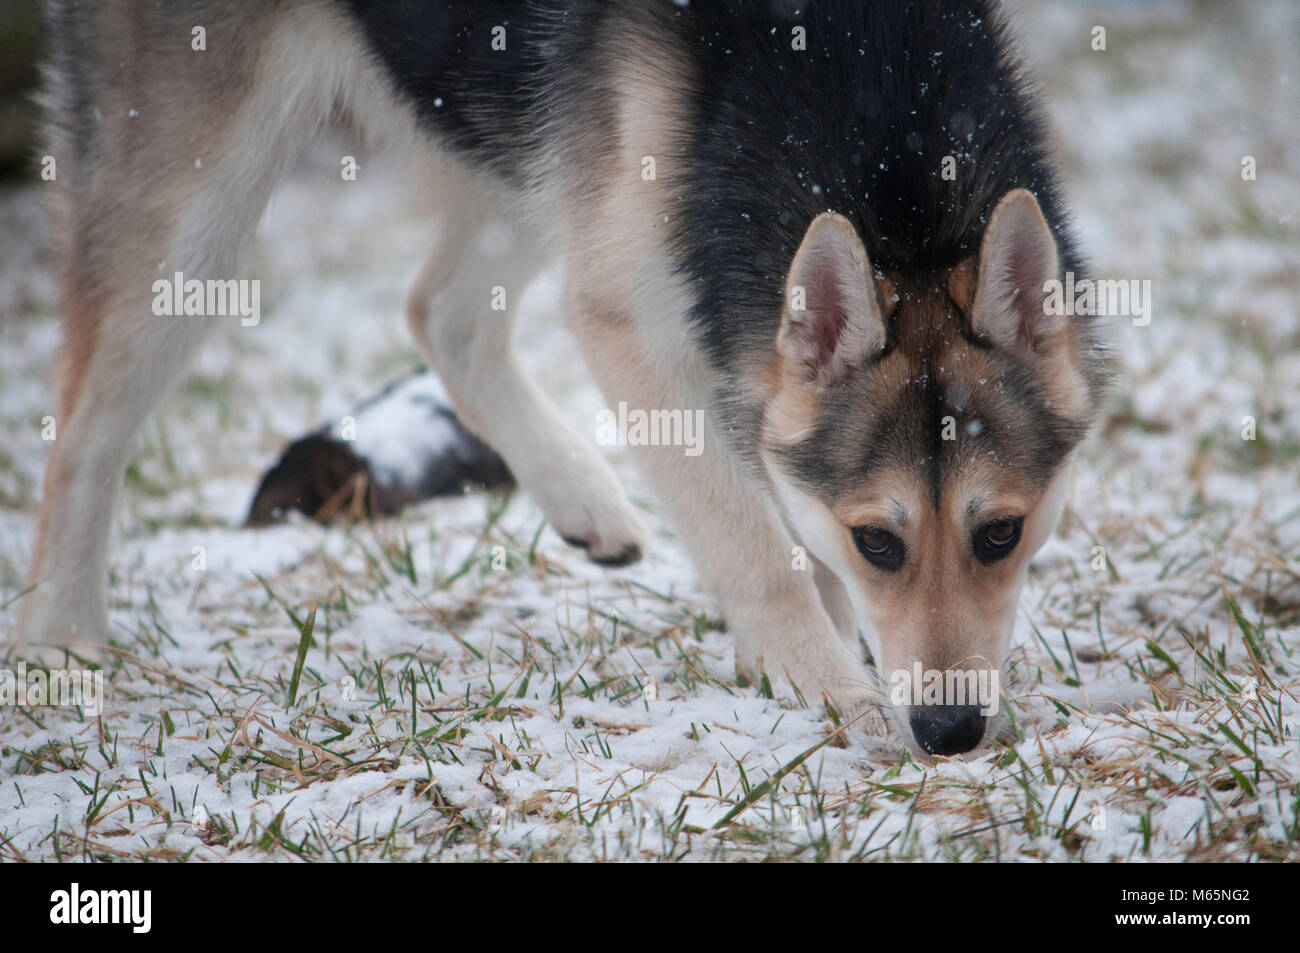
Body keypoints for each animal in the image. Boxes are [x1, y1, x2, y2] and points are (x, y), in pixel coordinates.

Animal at [17, 1, 1107, 759]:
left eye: (1001, 534)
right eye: (878, 541)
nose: (953, 735)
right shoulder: (633, 321)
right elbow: (759, 545)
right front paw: (827, 683)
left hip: (520, 148)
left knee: (440, 313)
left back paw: (581, 493)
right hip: (199, 209)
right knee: (82, 429)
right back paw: (58, 641)